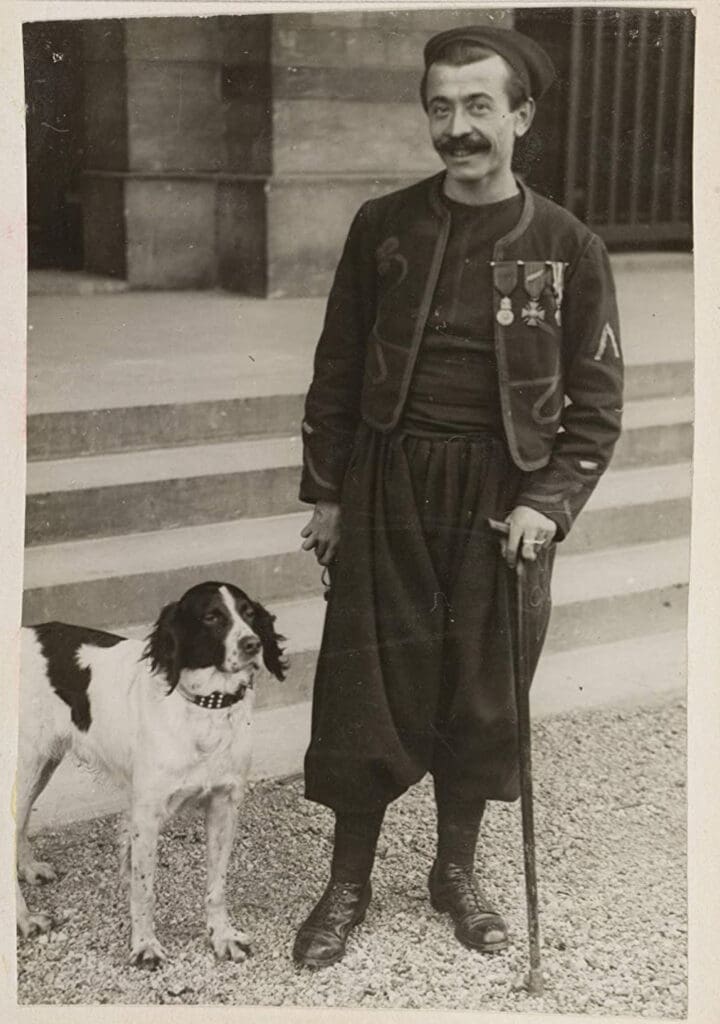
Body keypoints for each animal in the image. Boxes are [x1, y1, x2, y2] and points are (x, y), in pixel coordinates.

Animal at [15, 585, 286, 966]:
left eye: (248, 613)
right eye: (211, 617)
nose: (253, 644)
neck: (204, 709)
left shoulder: (225, 805)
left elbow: (217, 885)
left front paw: (222, 936)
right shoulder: (146, 813)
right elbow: (144, 888)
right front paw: (144, 945)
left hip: (42, 765)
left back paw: (28, 869)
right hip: (26, 765)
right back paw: (23, 918)